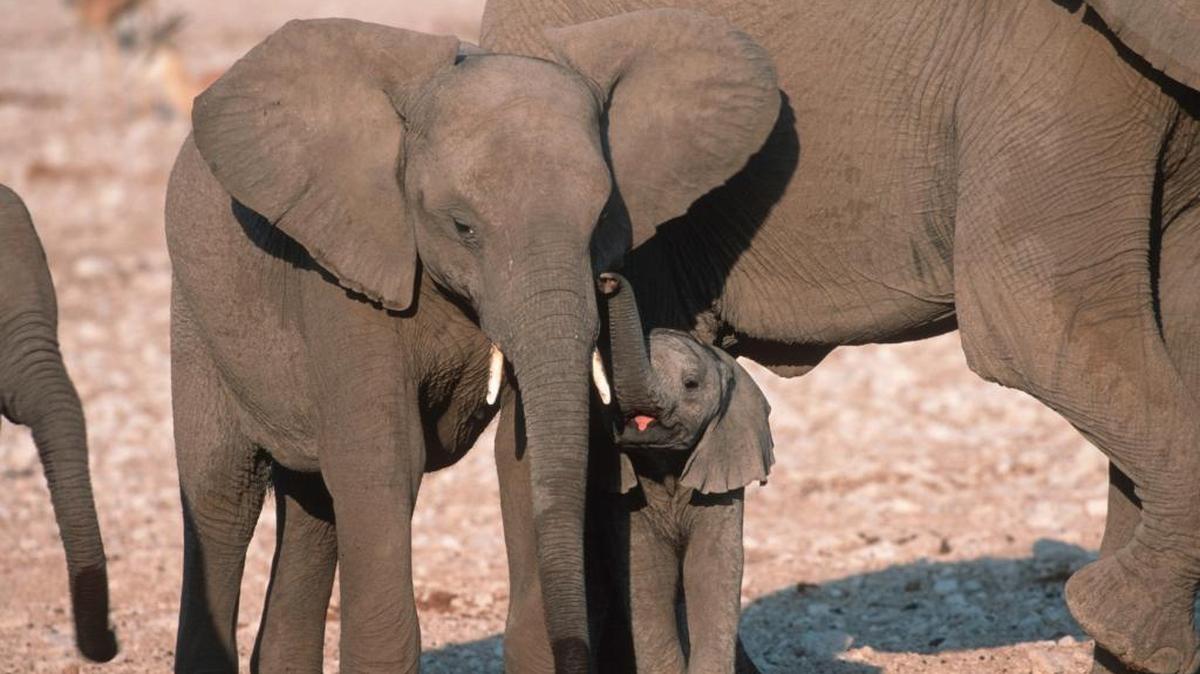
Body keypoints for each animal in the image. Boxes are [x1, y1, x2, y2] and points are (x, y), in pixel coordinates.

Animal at [594, 272, 773, 673]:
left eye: (690, 384)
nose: (607, 280)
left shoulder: (721, 479)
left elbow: (710, 570)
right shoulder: (627, 505)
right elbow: (648, 577)